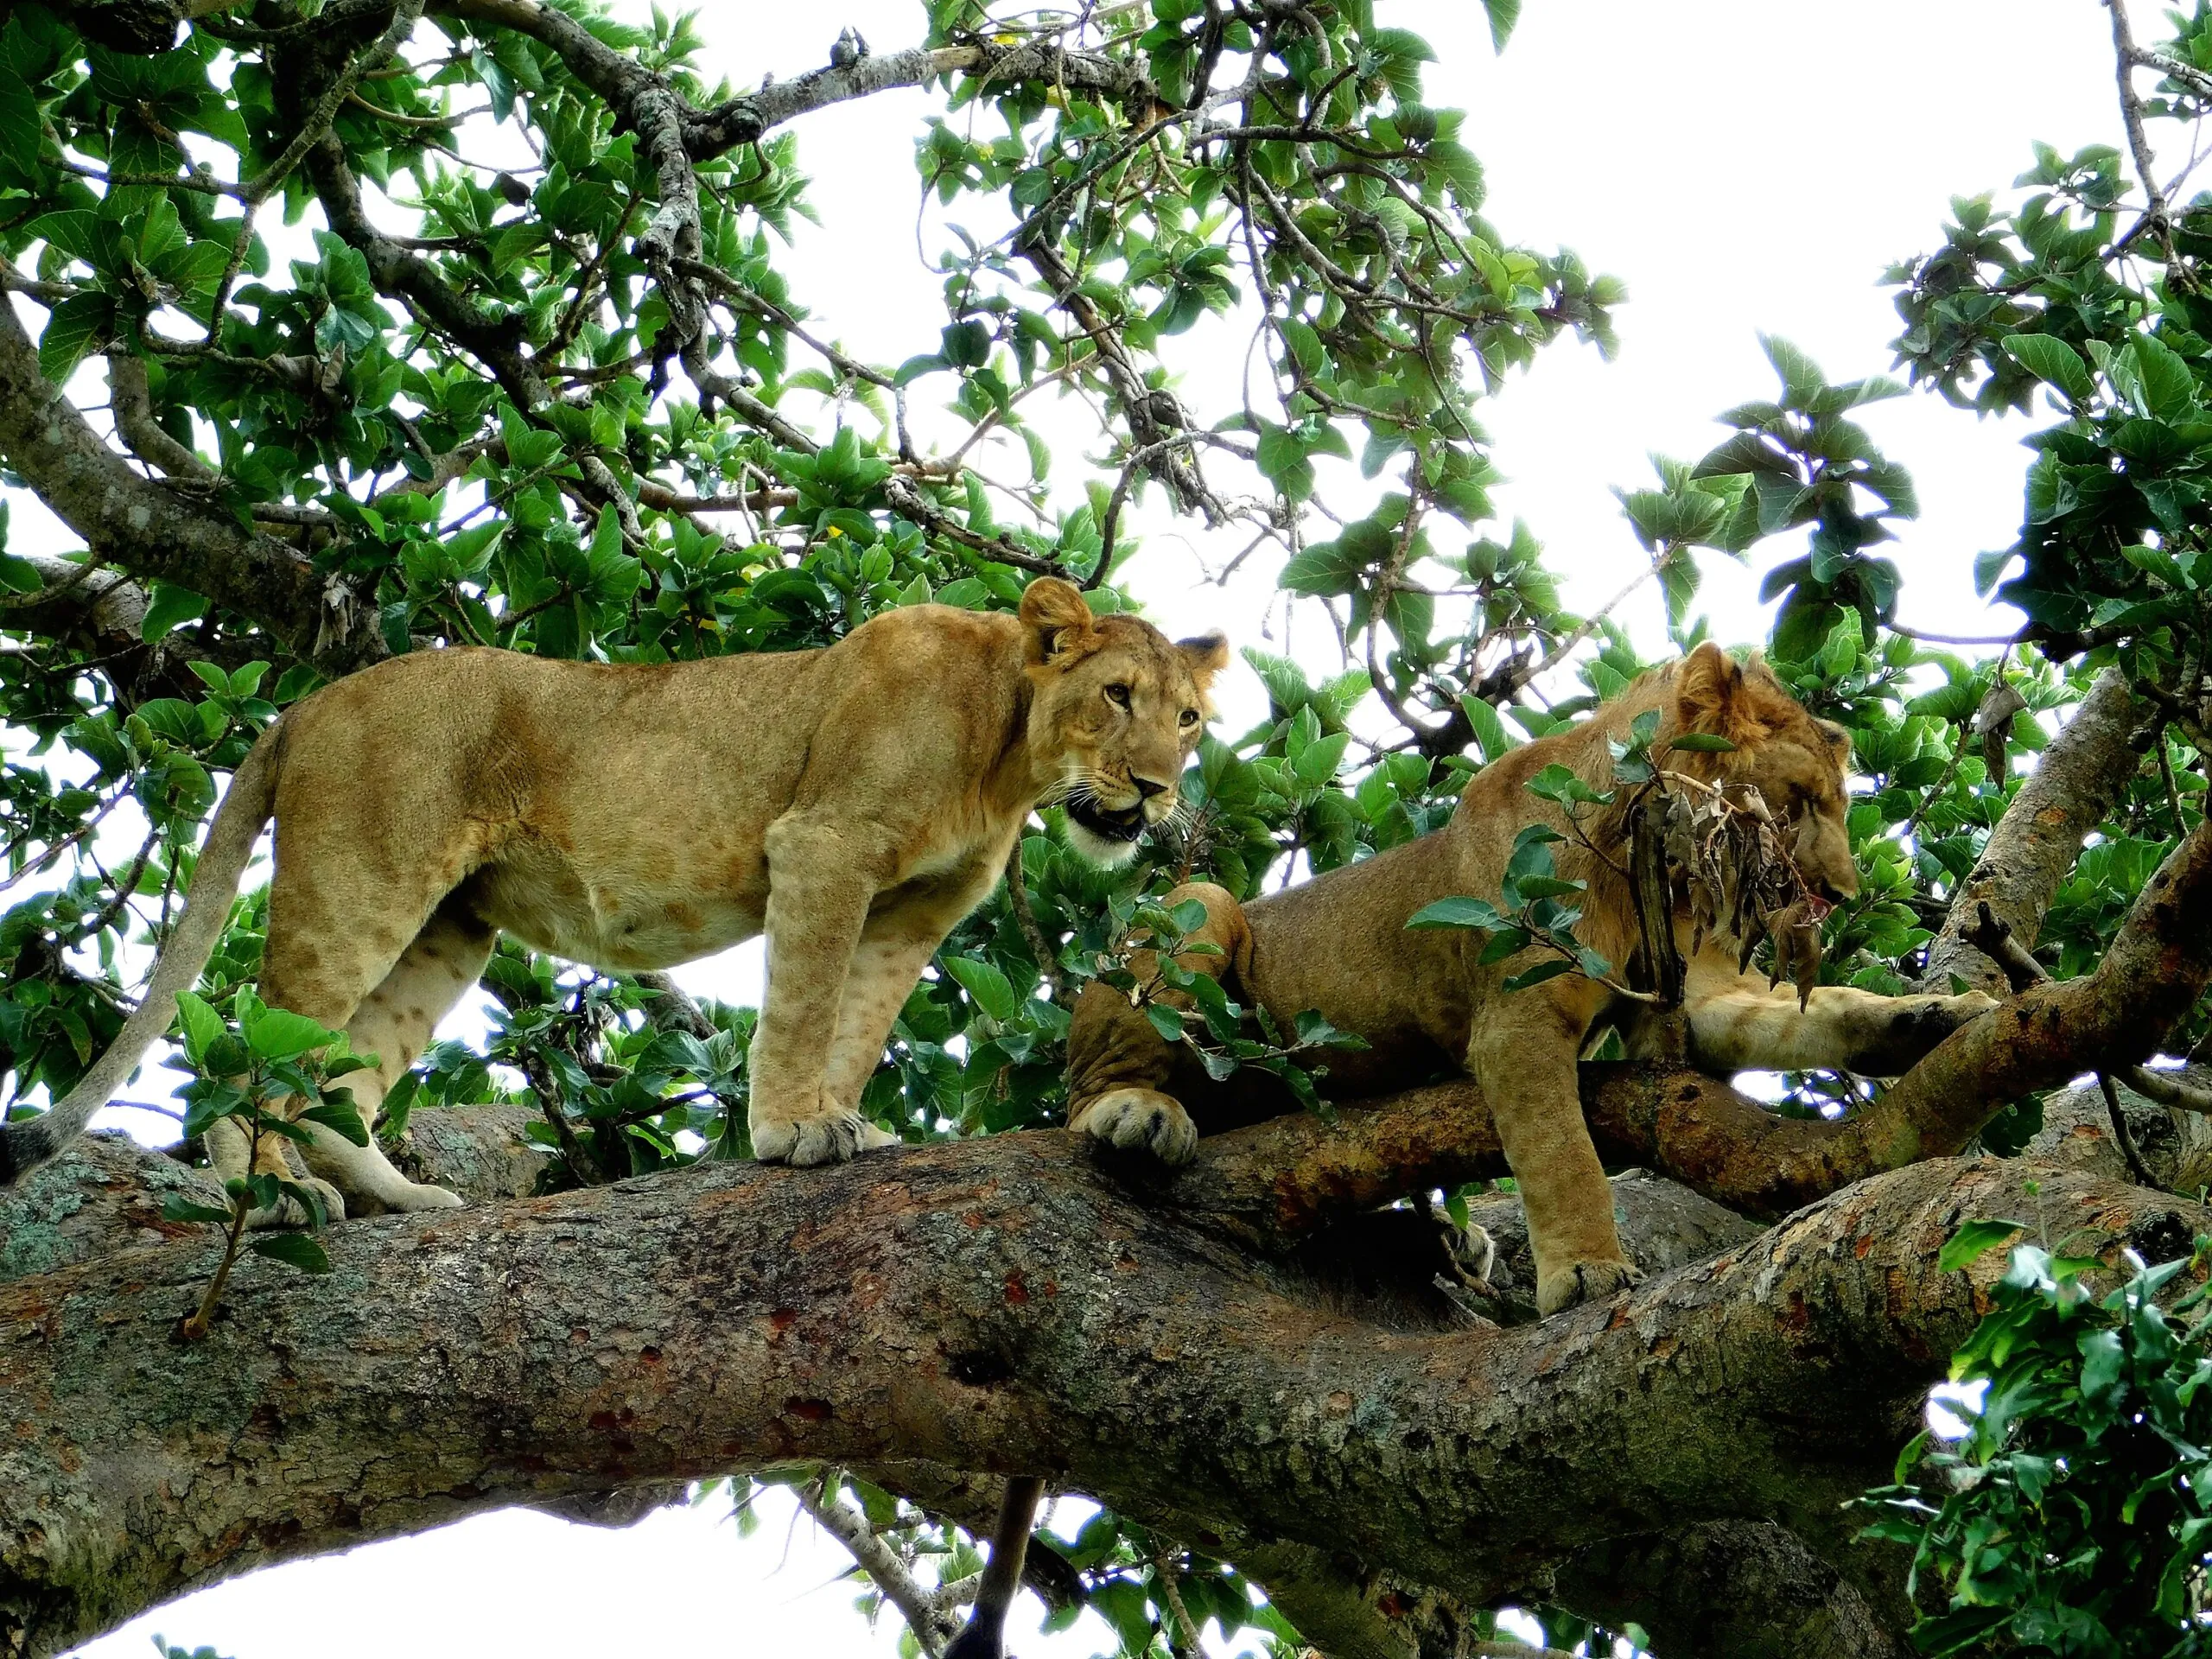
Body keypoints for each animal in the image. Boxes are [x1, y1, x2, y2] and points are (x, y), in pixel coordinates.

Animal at [0, 578, 1227, 1220]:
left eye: (1189, 719)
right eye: (1116, 697)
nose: (1157, 789)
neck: (1009, 756)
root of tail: (306, 704)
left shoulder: (913, 914)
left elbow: (857, 1021)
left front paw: (844, 1121)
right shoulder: (823, 845)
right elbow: (802, 1005)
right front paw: (788, 1132)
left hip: (452, 924)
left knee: (336, 1072)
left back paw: (406, 1200)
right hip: (363, 877)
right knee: (255, 1045)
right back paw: (270, 1196)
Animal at [1063, 642, 1999, 1316]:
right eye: (1798, 802)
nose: (1839, 894)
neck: (1647, 865)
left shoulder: (1699, 995)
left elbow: (1821, 1012)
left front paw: (1938, 1015)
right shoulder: (1518, 1019)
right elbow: (1560, 1151)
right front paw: (1587, 1273)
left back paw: (1448, 1242)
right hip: (1203, 906)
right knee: (1085, 1094)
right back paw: (1138, 1115)